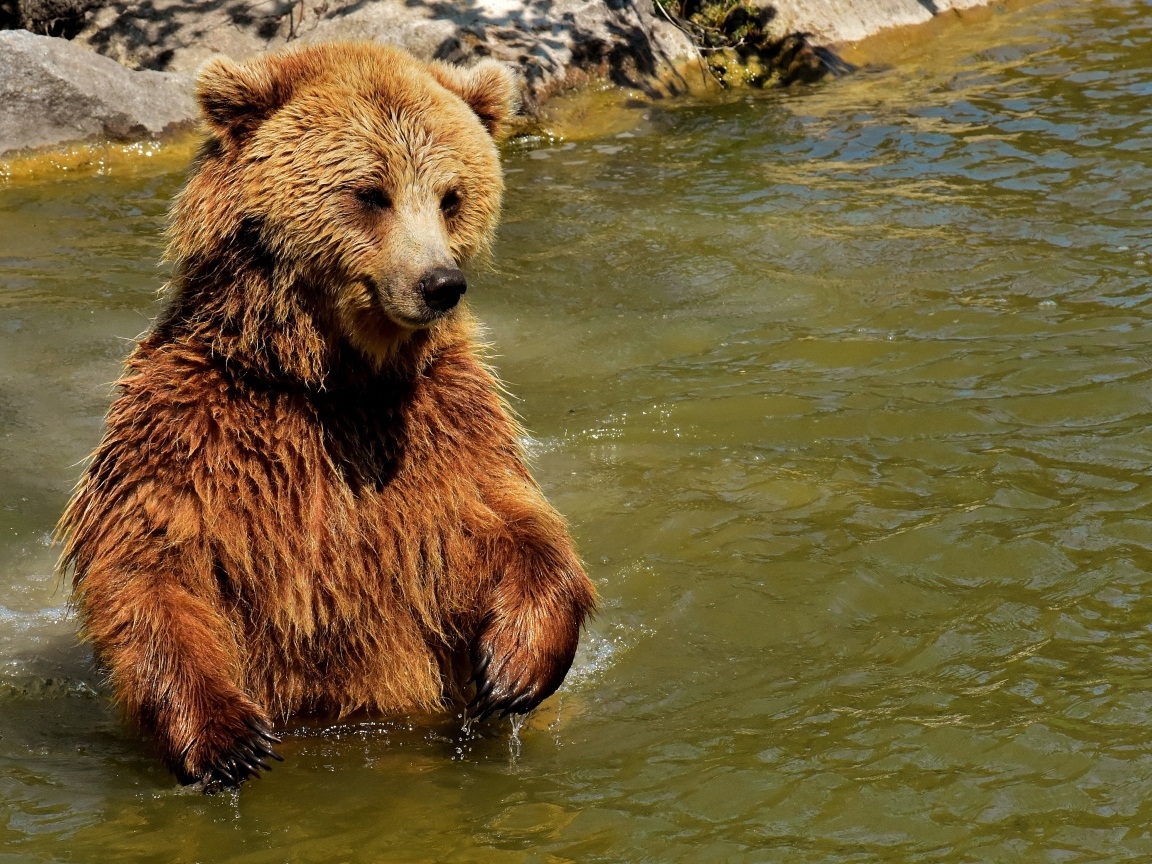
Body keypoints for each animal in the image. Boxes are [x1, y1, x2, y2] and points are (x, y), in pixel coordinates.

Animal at [57, 42, 596, 790]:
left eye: (452, 196)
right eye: (371, 192)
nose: (440, 283)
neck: (329, 380)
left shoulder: (443, 421)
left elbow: (508, 521)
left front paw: (514, 666)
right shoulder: (190, 424)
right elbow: (152, 561)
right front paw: (228, 739)